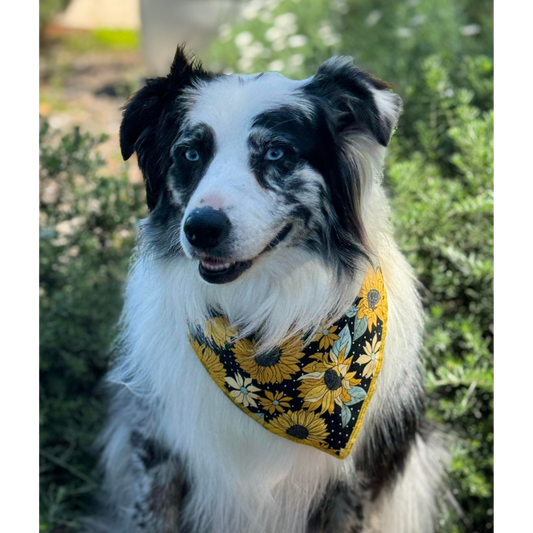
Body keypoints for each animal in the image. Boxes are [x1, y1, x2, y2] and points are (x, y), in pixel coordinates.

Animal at [86, 46, 444, 532]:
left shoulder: (356, 481)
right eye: (190, 154)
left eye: (275, 152)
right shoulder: (155, 447)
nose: (202, 229)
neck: (262, 319)